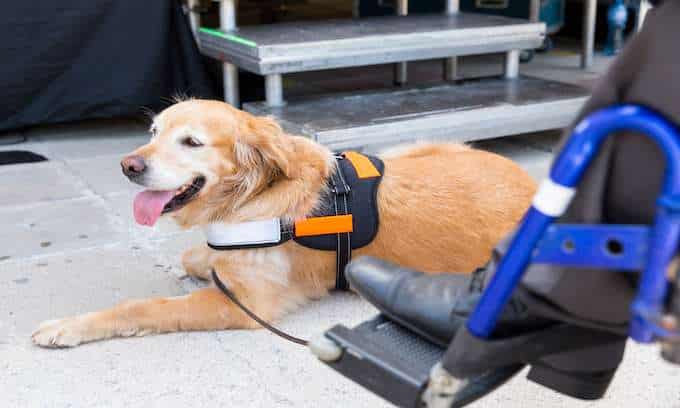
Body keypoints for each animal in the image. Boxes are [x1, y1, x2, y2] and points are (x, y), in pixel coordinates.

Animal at [30, 99, 536, 348]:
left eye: (191, 142)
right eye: (153, 132)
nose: (128, 166)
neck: (252, 193)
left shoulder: (242, 305)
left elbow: (144, 307)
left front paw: (67, 327)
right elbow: (196, 256)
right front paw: (197, 260)